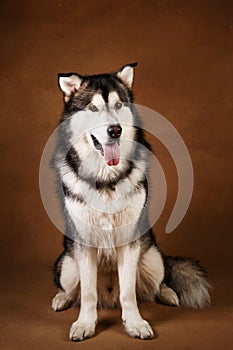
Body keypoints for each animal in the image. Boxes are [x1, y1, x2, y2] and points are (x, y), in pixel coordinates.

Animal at [51, 62, 211, 340]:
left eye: (118, 105)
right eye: (93, 108)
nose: (115, 130)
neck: (105, 180)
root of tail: (109, 297)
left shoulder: (130, 242)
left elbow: (128, 292)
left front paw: (135, 323)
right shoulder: (84, 244)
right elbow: (88, 294)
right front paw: (84, 324)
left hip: (153, 258)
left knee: (158, 281)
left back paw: (168, 293)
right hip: (67, 265)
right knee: (72, 289)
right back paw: (62, 298)